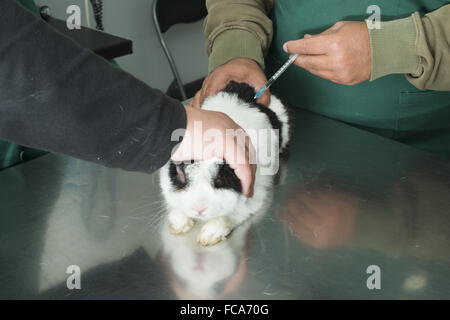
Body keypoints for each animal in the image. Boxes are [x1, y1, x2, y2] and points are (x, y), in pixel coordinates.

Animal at [160, 81, 290, 246]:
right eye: (180, 175)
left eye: (220, 179)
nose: (199, 209)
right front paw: (179, 225)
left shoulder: (254, 195)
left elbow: (228, 216)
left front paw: (208, 236)